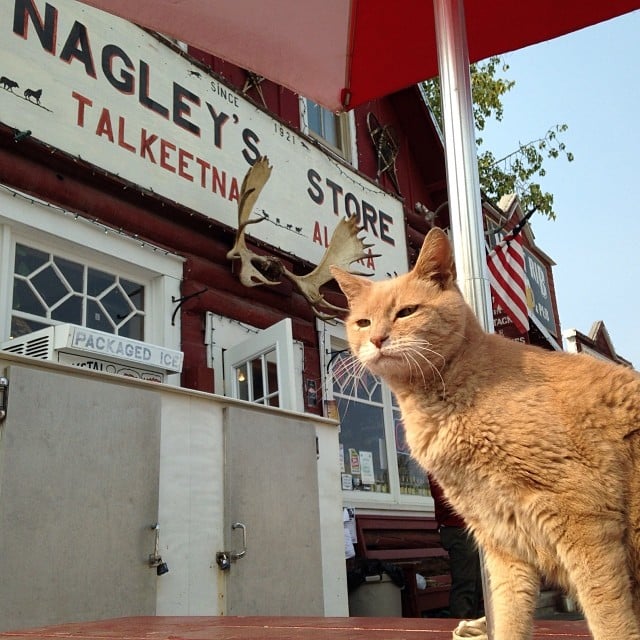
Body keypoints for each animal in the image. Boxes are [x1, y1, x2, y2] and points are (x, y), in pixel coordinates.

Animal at [330, 228, 640, 636]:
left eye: (406, 312)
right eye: (363, 322)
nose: (377, 339)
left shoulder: (583, 516)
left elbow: (609, 617)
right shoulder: (502, 539)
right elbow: (508, 615)